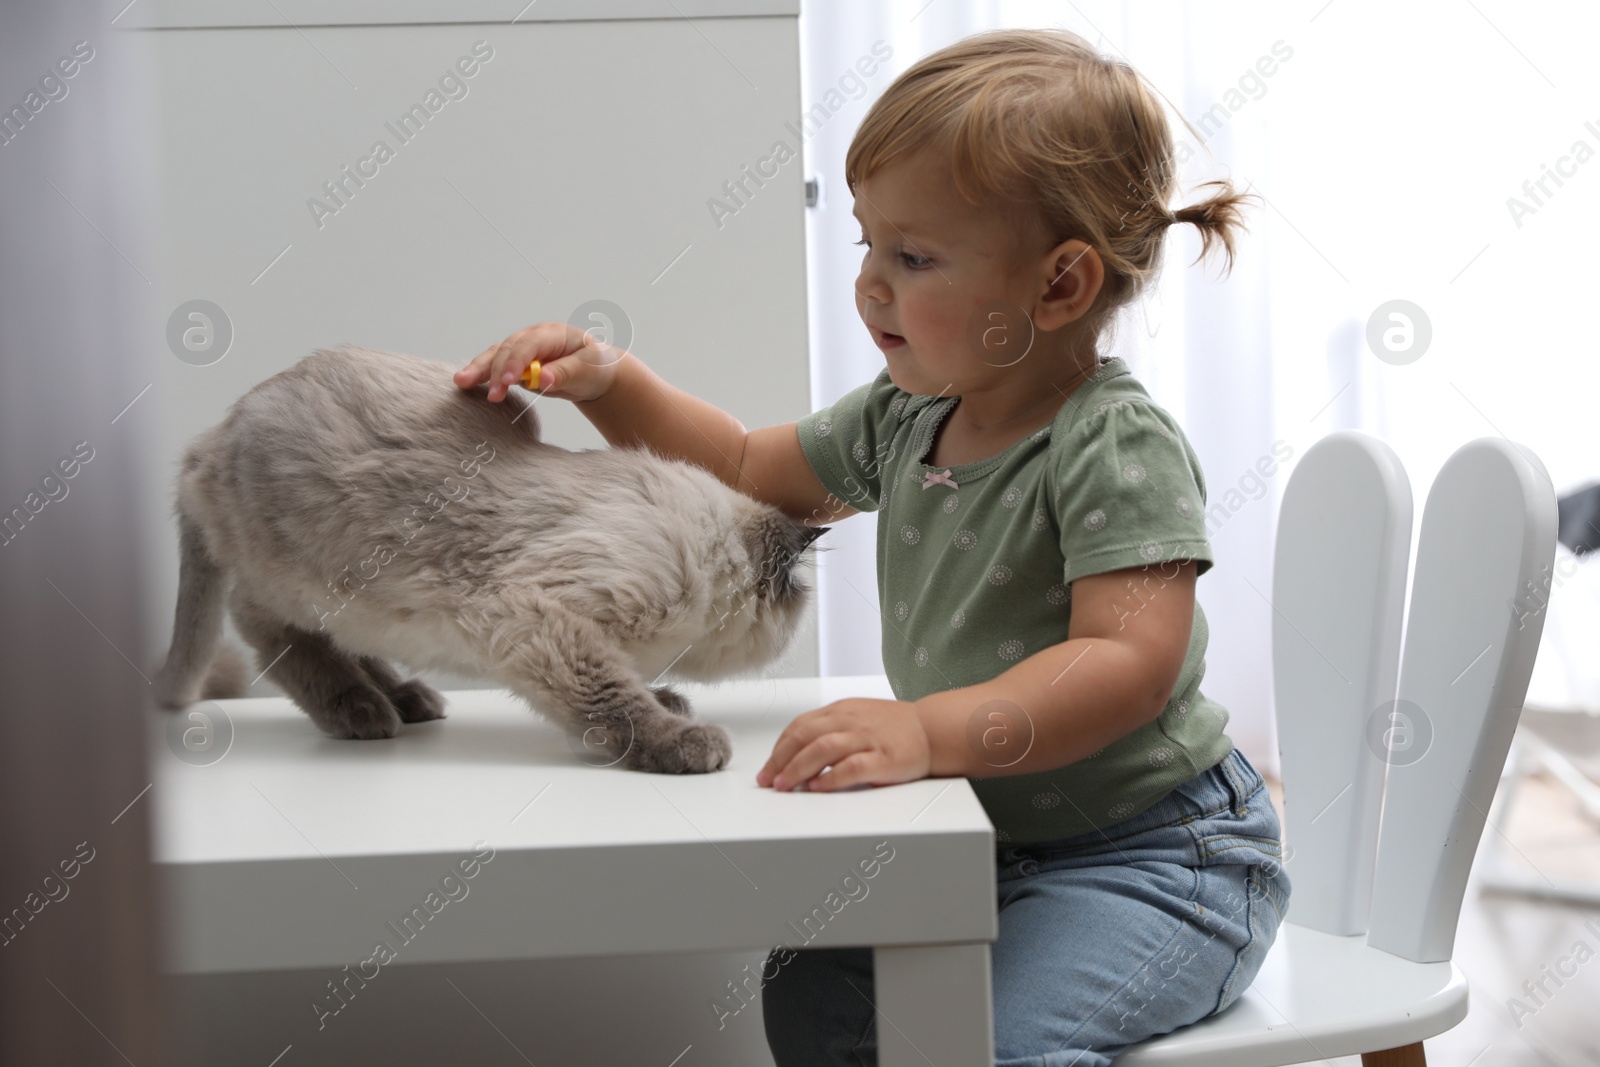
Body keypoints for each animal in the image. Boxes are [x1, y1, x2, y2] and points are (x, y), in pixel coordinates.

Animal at [148, 347, 825, 771]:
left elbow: (629, 686)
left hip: (359, 604)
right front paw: (683, 739)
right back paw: (359, 710)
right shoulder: (535, 616)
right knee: (267, 630)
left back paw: (406, 699)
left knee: (348, 645)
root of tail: (208, 440)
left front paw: (668, 701)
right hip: (300, 580)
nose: (795, 642)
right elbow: (613, 698)